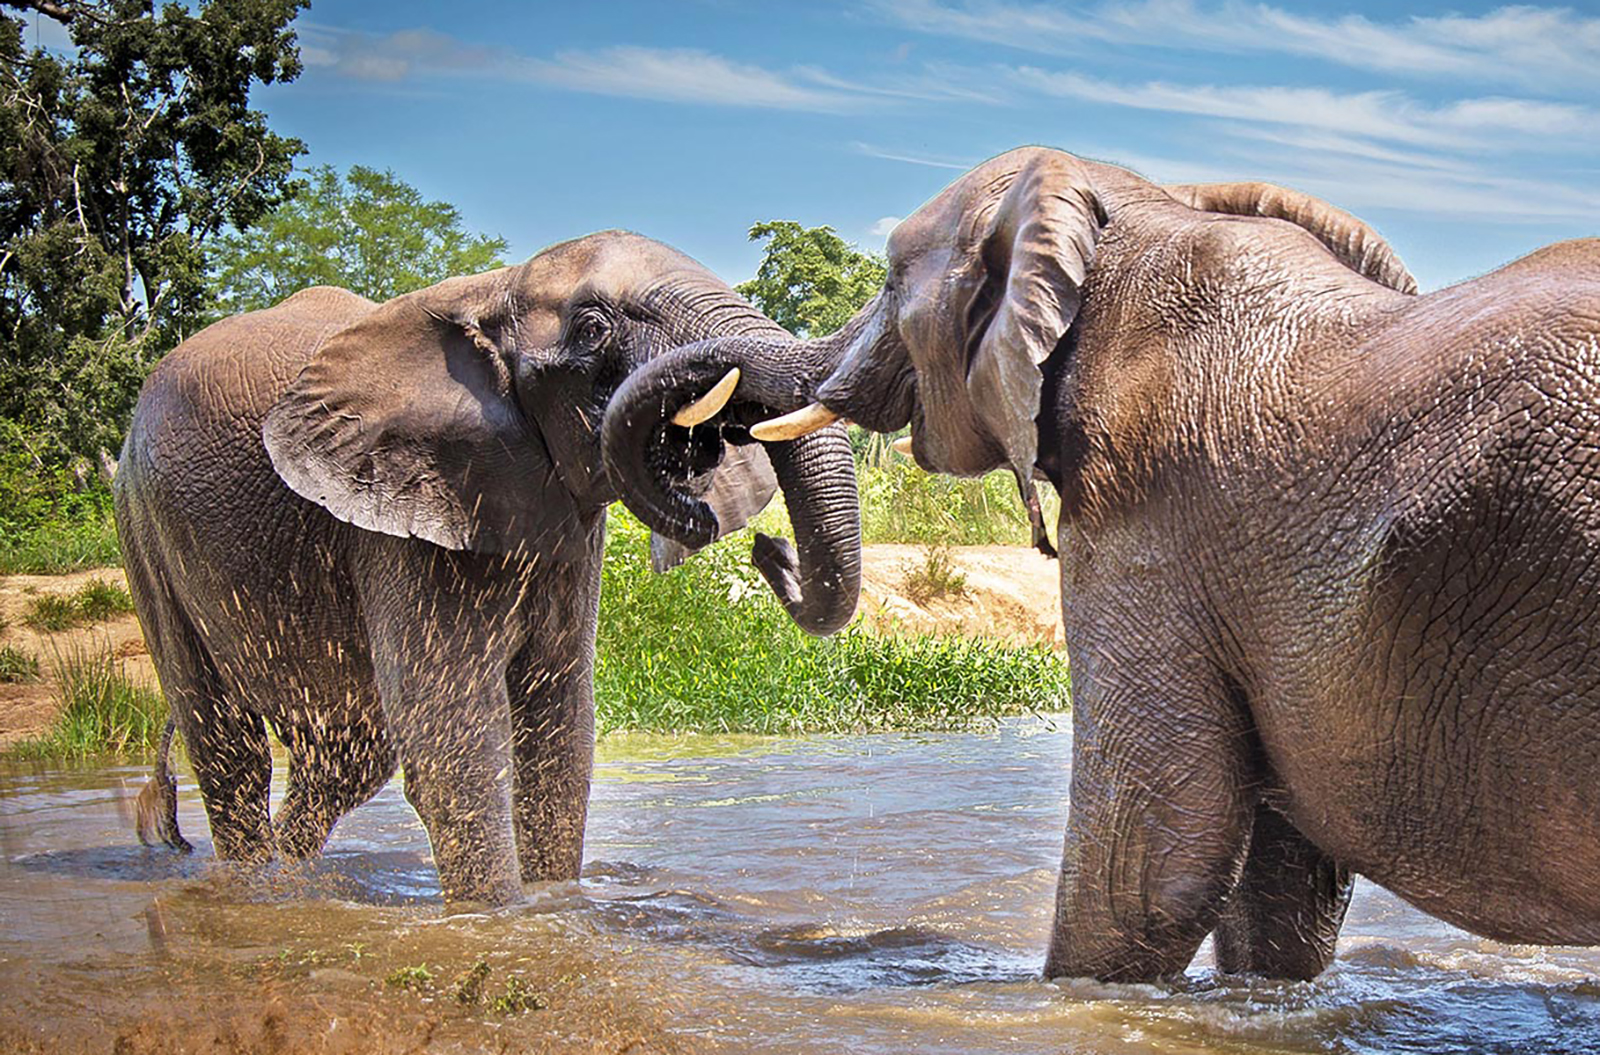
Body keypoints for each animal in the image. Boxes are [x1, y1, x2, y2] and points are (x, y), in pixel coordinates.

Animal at [115, 230, 860, 906]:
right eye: (593, 329)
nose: (770, 549)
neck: (490, 289)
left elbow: (560, 734)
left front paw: (557, 906)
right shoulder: (406, 514)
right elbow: (456, 745)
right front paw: (498, 920)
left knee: (348, 754)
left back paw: (292, 878)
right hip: (143, 525)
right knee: (227, 743)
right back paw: (252, 885)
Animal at [601, 146, 1600, 982]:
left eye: (886, 281)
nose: (760, 545)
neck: (1138, 216)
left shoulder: (1152, 515)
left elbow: (1150, 860)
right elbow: (1278, 888)